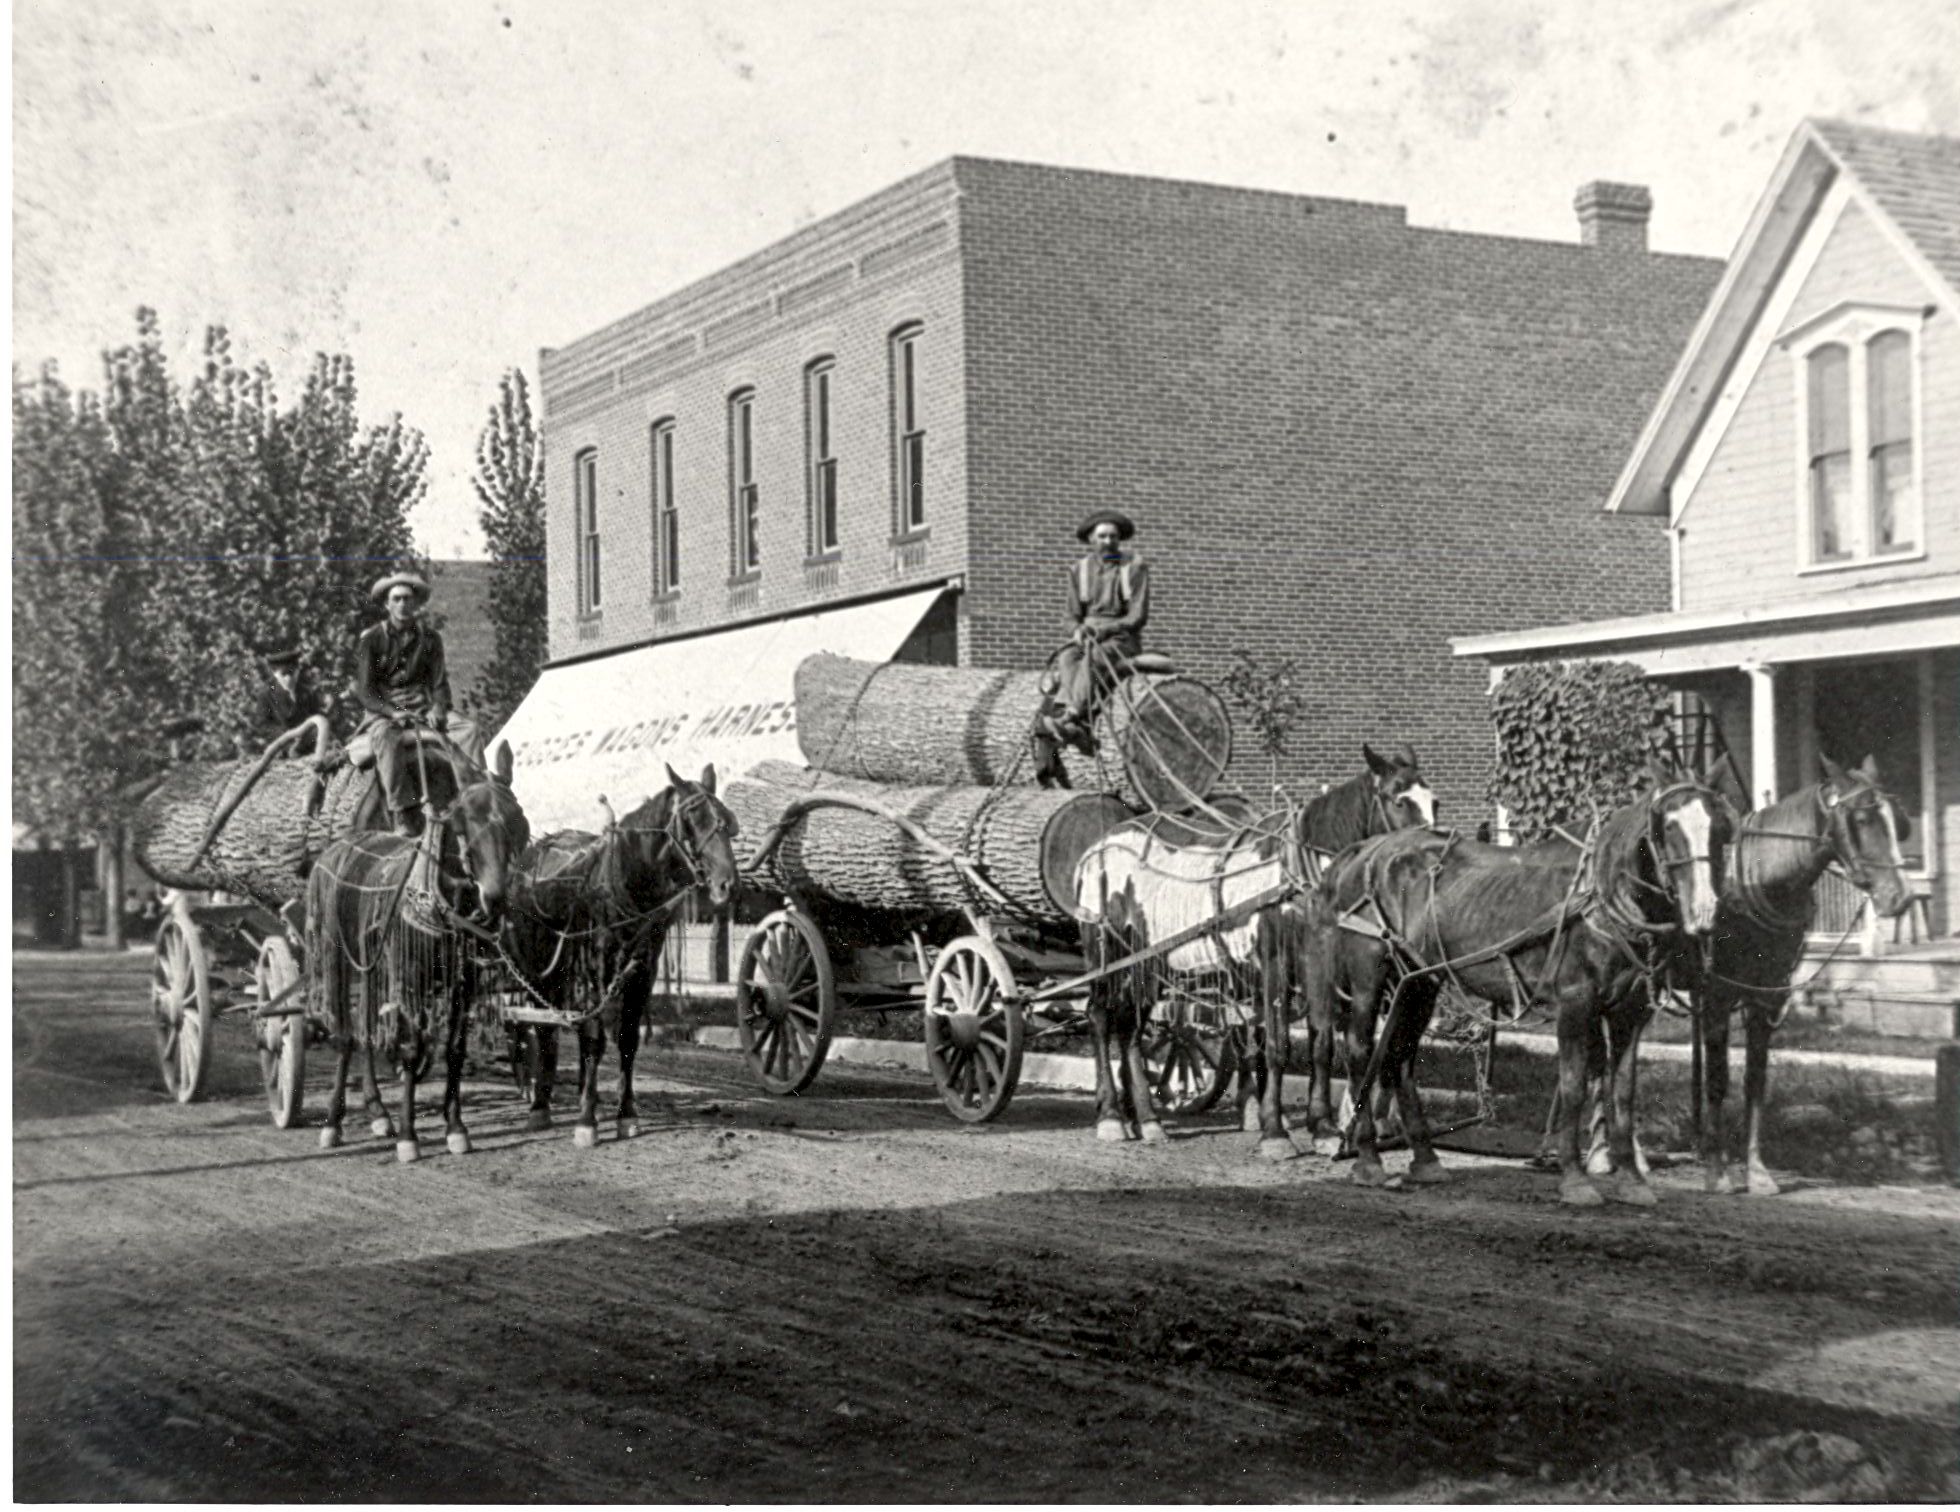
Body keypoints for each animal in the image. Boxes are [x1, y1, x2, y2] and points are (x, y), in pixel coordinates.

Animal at [301, 741, 529, 1160]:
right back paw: (333, 1122)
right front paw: (409, 1136)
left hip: (372, 965)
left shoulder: (463, 984)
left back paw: (377, 1111)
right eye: (464, 820)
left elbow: (454, 1049)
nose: (494, 897)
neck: (439, 898)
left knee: (366, 1029)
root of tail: (342, 844)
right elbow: (410, 1048)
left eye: (517, 818)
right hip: (335, 955)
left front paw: (455, 1127)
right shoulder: (410, 980)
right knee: (345, 1035)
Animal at [501, 768, 744, 1145]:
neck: (624, 885)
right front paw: (586, 1120)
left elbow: (626, 1040)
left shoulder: (642, 973)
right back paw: (540, 1103)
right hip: (538, 968)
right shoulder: (596, 972)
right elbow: (594, 1040)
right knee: (543, 1028)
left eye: (725, 820)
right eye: (692, 819)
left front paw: (624, 1114)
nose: (727, 885)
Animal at [1309, 764, 1724, 1215]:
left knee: (1401, 1055)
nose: (1704, 911)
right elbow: (1574, 1088)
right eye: (1667, 826)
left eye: (1718, 825)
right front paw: (1575, 1180)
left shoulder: (1629, 1012)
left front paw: (1632, 1180)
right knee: (1359, 1050)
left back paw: (1425, 1159)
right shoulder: (1575, 1004)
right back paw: (1367, 1159)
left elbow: (1624, 1095)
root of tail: (1364, 851)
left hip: (1418, 980)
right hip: (1369, 976)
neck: (1601, 895)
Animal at [1693, 753, 1905, 1192]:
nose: (1901, 896)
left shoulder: (1765, 995)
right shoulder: (1717, 995)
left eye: (1897, 819)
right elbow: (1718, 1080)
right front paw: (1717, 1171)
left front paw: (1757, 1170)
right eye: (1862, 819)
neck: (1754, 881)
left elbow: (1755, 1081)